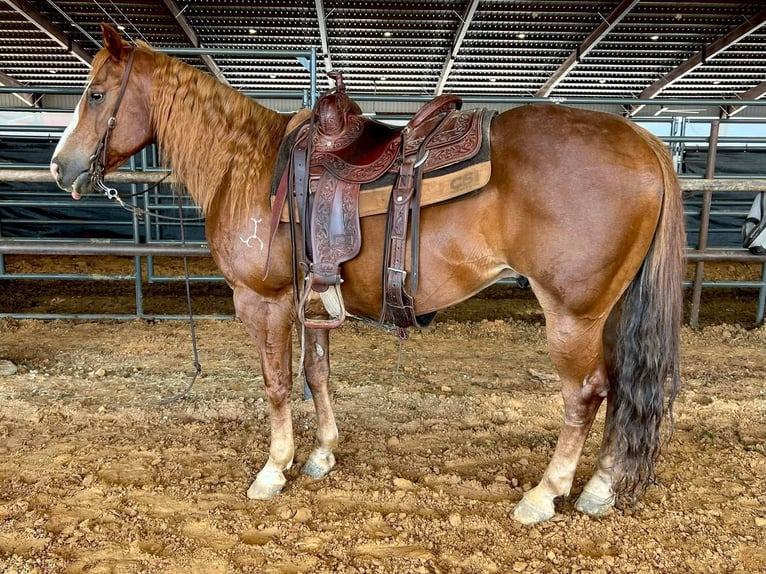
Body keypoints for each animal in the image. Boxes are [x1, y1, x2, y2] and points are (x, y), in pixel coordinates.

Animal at [50, 24, 685, 525]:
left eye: (96, 93)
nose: (60, 167)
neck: (247, 163)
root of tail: (644, 142)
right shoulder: (310, 296)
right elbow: (316, 375)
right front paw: (321, 454)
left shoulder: (262, 300)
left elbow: (277, 383)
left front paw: (273, 469)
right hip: (610, 309)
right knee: (623, 387)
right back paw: (599, 489)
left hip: (572, 314)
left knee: (586, 393)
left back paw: (544, 495)